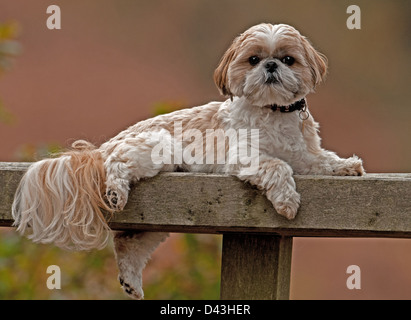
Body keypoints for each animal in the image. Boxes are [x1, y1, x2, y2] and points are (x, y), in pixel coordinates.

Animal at [11, 23, 366, 300]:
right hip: (155, 149)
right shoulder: (247, 158)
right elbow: (277, 167)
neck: (275, 111)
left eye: (288, 59)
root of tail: (107, 144)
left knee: (129, 242)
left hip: (156, 223)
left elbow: (321, 160)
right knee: (118, 164)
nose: (270, 66)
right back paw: (115, 191)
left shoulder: (304, 153)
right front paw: (288, 202)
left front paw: (346, 166)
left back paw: (130, 281)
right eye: (253, 59)